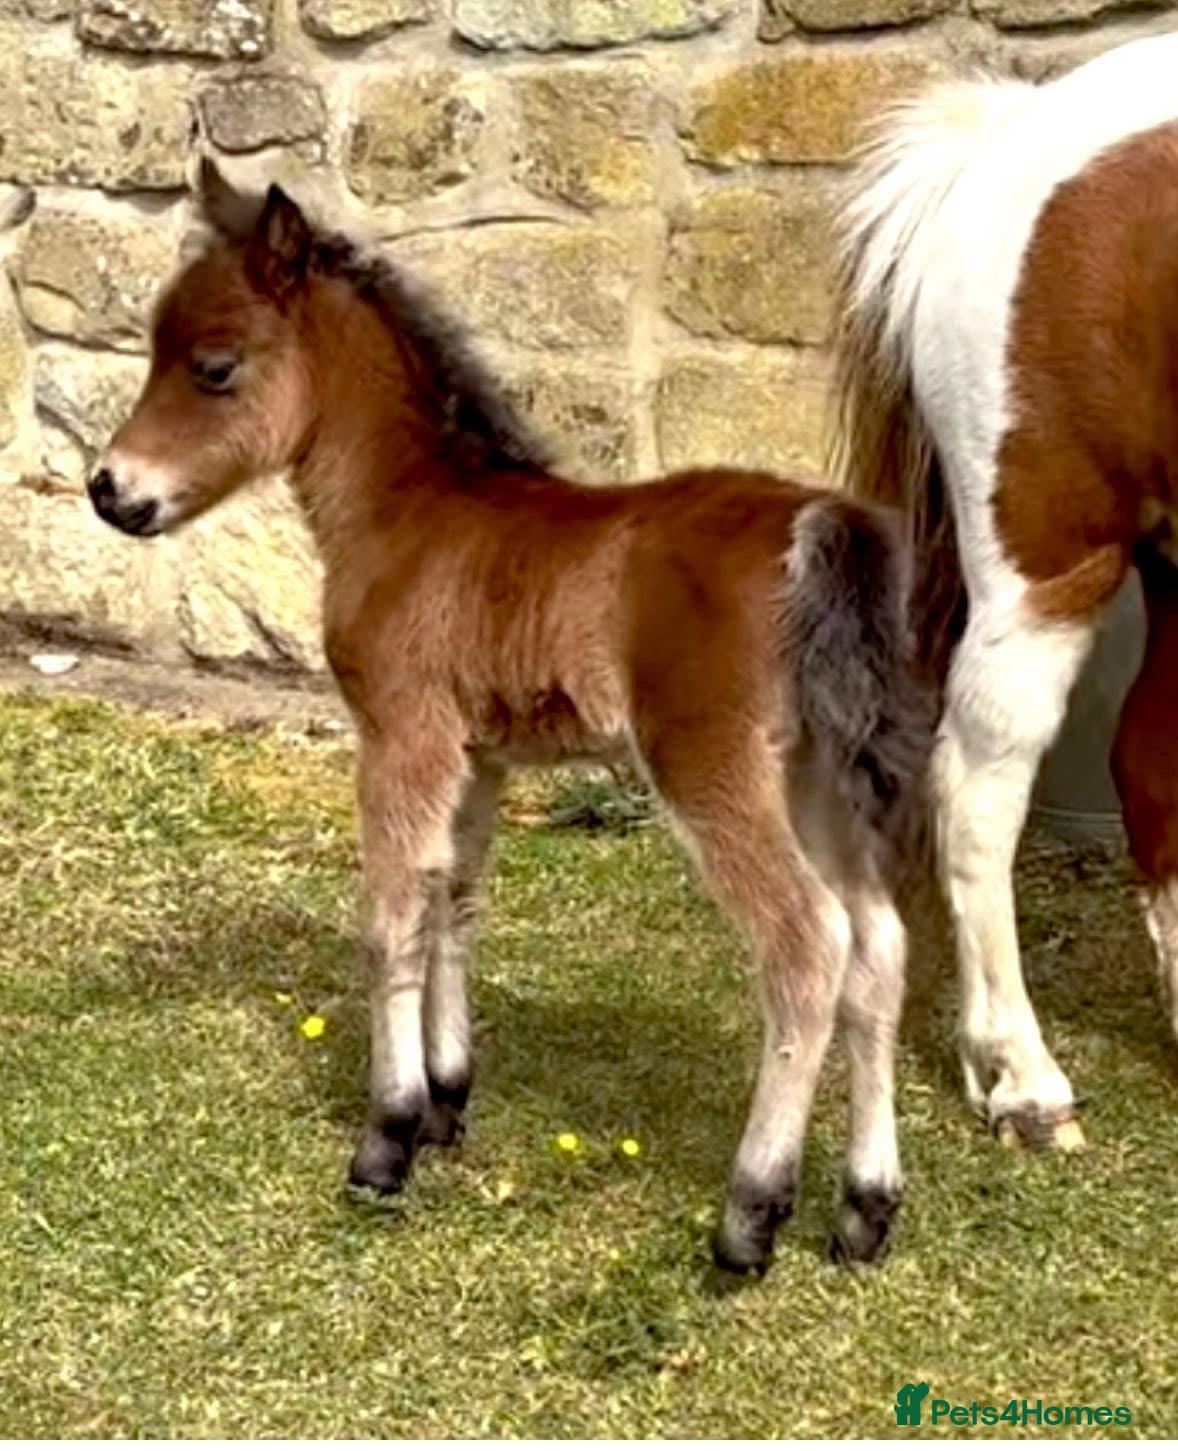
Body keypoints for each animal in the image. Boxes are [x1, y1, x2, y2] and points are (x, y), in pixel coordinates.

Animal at [85, 160, 933, 1273]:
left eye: (214, 367)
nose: (109, 489)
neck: (410, 514)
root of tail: (816, 525)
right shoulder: (478, 752)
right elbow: (455, 897)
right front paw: (448, 1099)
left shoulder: (400, 732)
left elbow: (389, 918)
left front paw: (387, 1135)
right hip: (818, 775)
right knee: (878, 948)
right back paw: (864, 1211)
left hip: (712, 767)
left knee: (808, 946)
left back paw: (750, 1212)